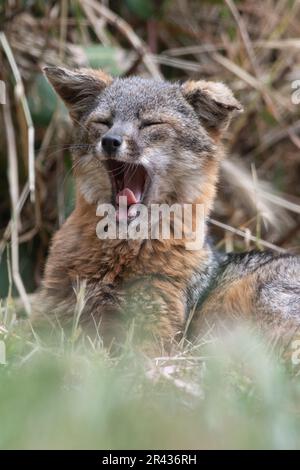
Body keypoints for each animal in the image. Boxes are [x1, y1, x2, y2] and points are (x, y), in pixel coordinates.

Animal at [38, 66, 300, 352]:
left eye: (151, 124)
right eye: (104, 122)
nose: (110, 141)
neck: (116, 260)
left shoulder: (154, 334)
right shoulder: (51, 319)